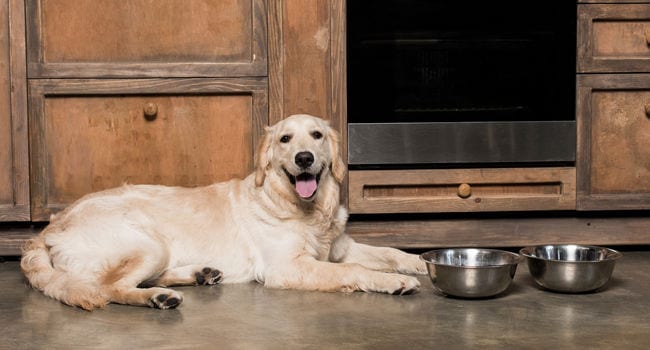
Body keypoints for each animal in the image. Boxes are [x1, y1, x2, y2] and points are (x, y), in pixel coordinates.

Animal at [20, 114, 426, 308]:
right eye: (285, 139)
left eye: (317, 136)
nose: (304, 158)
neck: (304, 208)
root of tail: (47, 229)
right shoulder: (286, 267)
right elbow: (354, 270)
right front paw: (394, 282)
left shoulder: (341, 247)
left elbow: (390, 252)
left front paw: (420, 263)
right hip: (148, 243)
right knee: (110, 287)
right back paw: (158, 298)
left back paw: (200, 274)